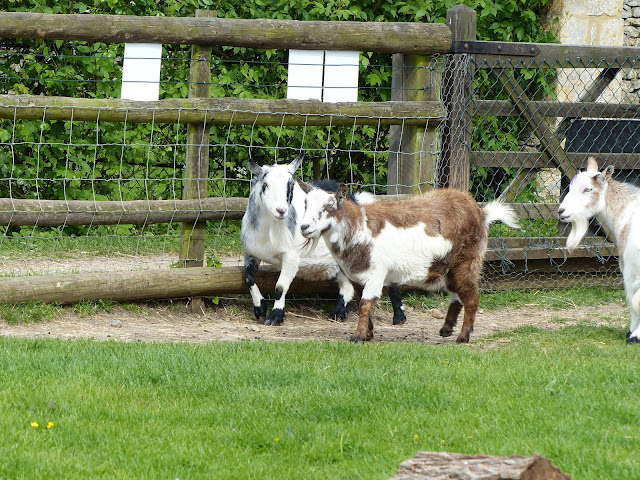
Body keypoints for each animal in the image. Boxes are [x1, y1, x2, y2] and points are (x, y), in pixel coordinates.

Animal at [240, 154, 404, 326]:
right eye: (265, 185)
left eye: (290, 185)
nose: (281, 210)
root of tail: (357, 200)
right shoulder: (251, 252)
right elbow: (248, 278)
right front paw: (260, 308)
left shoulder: (291, 256)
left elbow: (280, 287)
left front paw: (275, 317)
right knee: (347, 286)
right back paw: (338, 314)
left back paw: (399, 317)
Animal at [300, 182, 520, 344]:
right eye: (305, 205)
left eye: (328, 206)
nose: (304, 227)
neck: (360, 228)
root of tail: (480, 212)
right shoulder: (356, 276)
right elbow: (362, 302)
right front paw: (368, 334)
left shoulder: (376, 272)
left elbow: (365, 304)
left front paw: (358, 336)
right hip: (448, 266)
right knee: (457, 295)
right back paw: (446, 329)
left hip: (467, 261)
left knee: (471, 297)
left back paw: (463, 337)